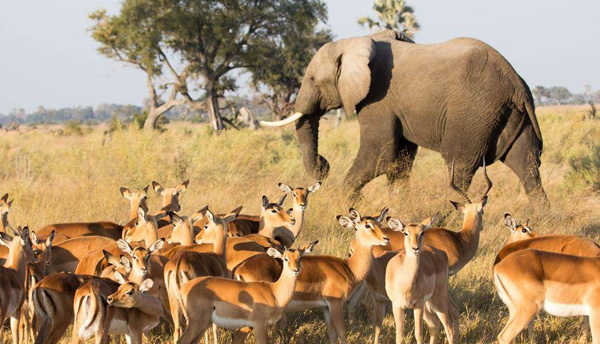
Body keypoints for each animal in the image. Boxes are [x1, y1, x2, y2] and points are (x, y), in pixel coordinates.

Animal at [262, 30, 548, 204]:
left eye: (312, 79)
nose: (324, 166)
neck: (358, 41)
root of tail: (516, 84)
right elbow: (400, 160)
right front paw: (398, 207)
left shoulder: (378, 98)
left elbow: (379, 156)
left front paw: (350, 204)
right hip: (510, 116)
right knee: (527, 167)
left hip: (474, 113)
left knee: (459, 168)